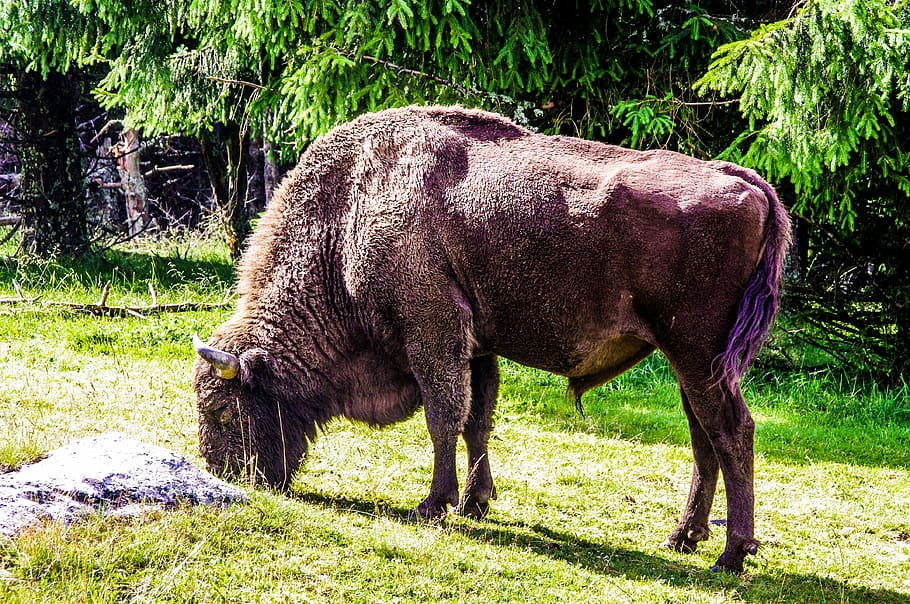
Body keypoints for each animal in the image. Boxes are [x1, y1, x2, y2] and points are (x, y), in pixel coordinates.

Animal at [193, 105, 790, 572]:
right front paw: (475, 503)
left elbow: (444, 417)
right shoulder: (477, 347)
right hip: (690, 364)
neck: (349, 212)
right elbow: (476, 421)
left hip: (698, 354)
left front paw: (433, 504)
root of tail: (744, 181)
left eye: (222, 410)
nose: (226, 474)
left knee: (732, 432)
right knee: (703, 437)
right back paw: (684, 537)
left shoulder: (433, 332)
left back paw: (732, 554)